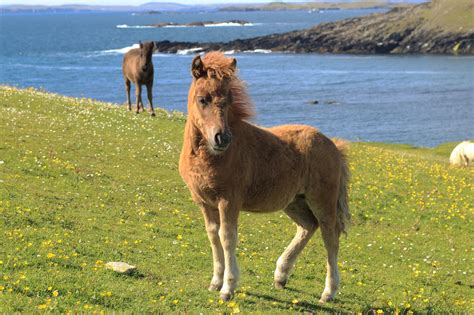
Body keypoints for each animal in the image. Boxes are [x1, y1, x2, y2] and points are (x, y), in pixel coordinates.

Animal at [180, 51, 350, 304]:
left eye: (229, 100)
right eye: (203, 99)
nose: (222, 138)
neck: (210, 155)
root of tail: (333, 146)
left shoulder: (229, 201)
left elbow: (227, 237)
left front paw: (227, 288)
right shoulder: (203, 201)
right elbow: (213, 236)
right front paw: (215, 282)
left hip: (322, 200)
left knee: (331, 236)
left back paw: (328, 292)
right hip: (294, 201)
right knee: (308, 226)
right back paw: (281, 275)